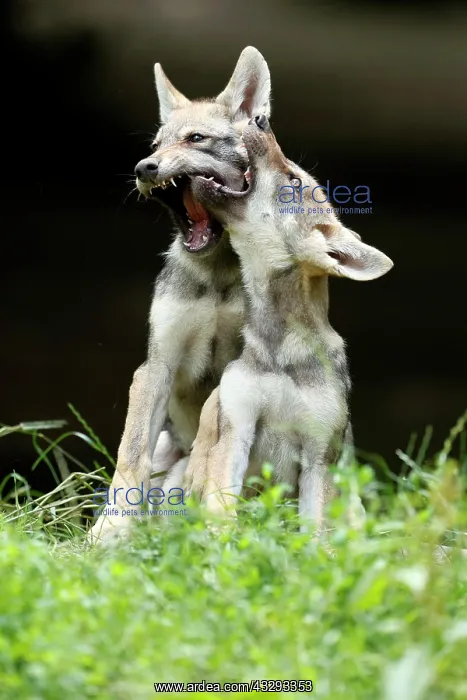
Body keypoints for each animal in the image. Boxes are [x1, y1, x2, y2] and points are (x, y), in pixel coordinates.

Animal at [88, 47, 271, 543]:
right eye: (155, 146)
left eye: (196, 139)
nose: (143, 169)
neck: (218, 278)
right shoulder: (157, 366)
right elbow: (130, 455)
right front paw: (112, 527)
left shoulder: (243, 367)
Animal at [183, 114, 393, 534]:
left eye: (295, 181)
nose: (260, 119)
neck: (281, 348)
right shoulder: (237, 431)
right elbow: (222, 514)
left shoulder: (319, 454)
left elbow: (315, 534)